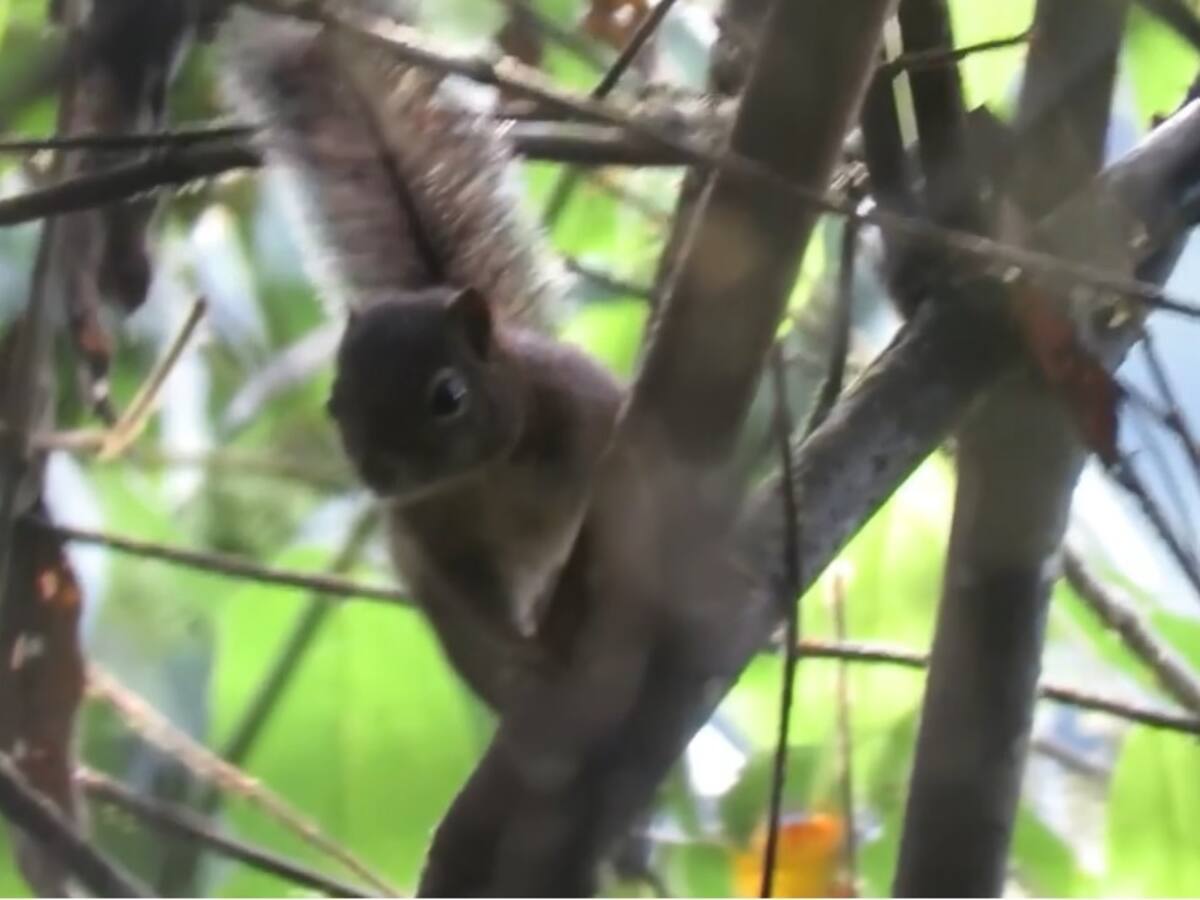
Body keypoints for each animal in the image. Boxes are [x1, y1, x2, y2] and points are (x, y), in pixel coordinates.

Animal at [219, 7, 623, 709]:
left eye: (448, 396)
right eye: (334, 404)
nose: (380, 473)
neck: (482, 475)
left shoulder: (586, 411)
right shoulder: (438, 543)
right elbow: (479, 600)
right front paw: (530, 654)